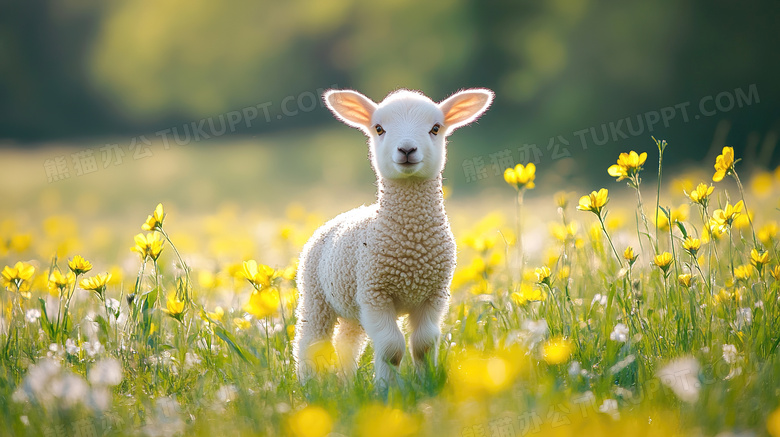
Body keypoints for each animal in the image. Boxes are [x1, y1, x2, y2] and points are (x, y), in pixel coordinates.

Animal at [292, 85, 494, 382]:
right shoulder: (375, 292)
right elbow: (391, 347)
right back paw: (309, 383)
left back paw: (346, 382)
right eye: (379, 128)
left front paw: (425, 381)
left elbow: (424, 343)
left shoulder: (434, 294)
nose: (407, 149)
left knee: (346, 342)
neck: (411, 244)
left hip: (353, 306)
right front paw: (387, 387)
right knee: (311, 341)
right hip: (315, 294)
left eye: (436, 128)